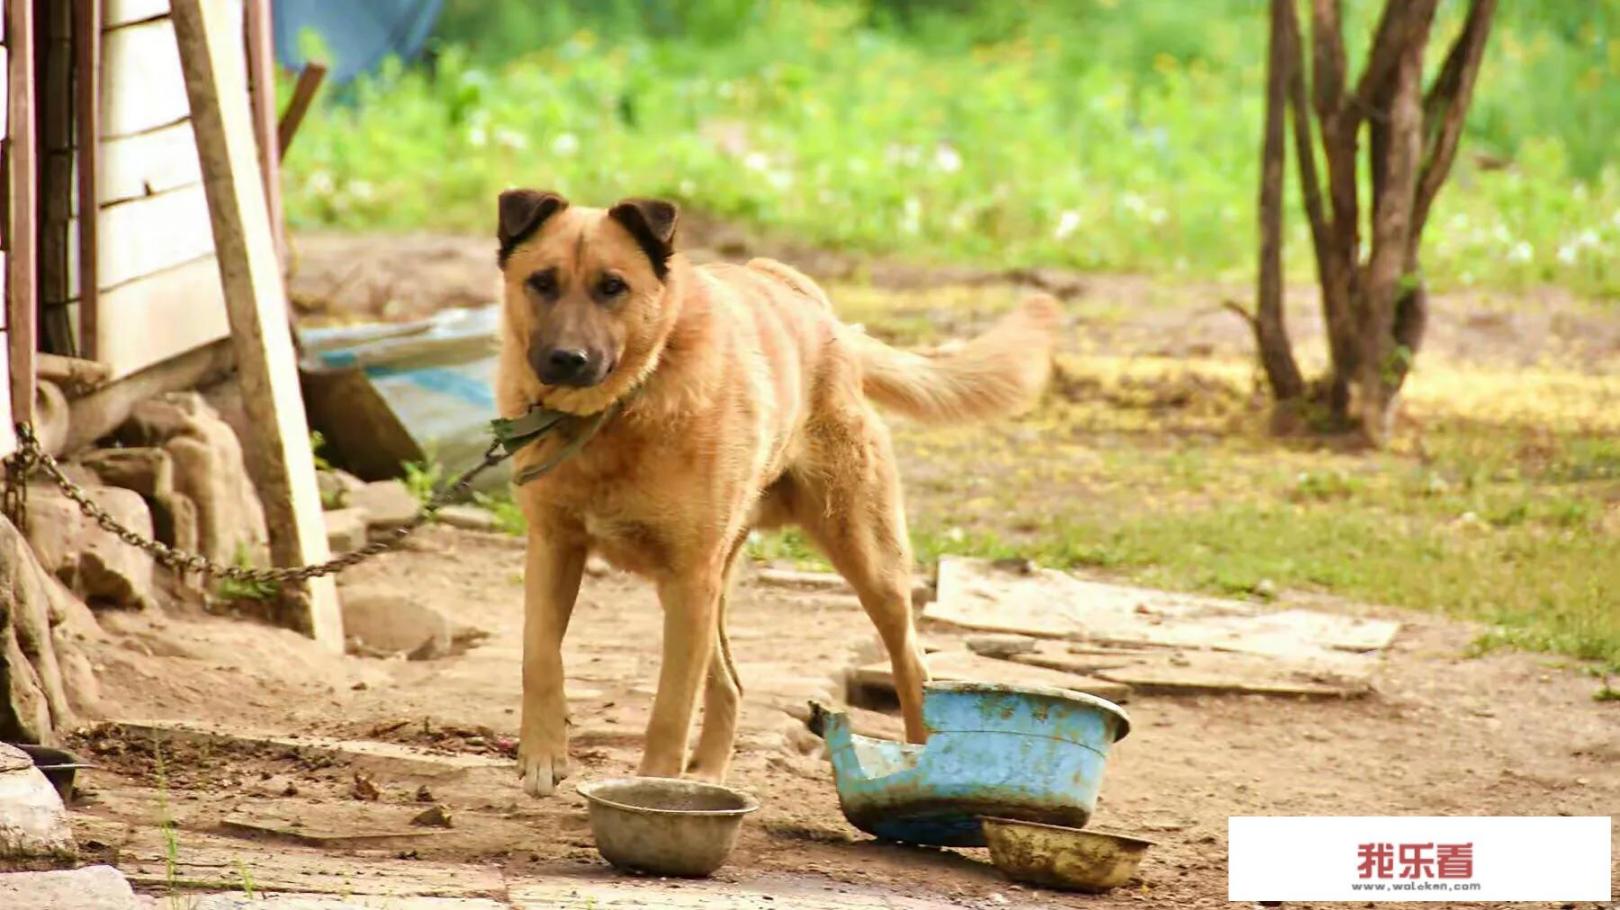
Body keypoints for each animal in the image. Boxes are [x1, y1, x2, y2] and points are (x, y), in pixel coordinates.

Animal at [492, 187, 1062, 790]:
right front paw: (544, 754)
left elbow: (670, 711)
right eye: (541, 282)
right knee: (730, 682)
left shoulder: (689, 578)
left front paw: (649, 784)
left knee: (911, 660)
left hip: (864, 558)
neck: (612, 414)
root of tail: (813, 306)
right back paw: (706, 777)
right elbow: (540, 655)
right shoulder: (555, 547)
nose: (566, 360)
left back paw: (921, 758)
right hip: (711, 584)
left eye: (612, 286)